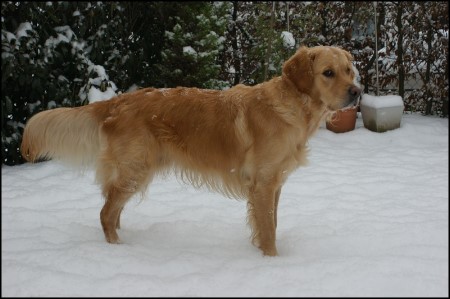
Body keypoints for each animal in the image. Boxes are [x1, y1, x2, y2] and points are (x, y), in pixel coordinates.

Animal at [21, 45, 360, 256]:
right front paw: (272, 260)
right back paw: (119, 249)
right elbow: (267, 229)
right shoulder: (263, 183)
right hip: (136, 169)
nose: (357, 92)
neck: (294, 106)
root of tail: (117, 102)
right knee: (106, 212)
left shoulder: (274, 184)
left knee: (111, 207)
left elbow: (271, 224)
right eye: (328, 73)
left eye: (349, 71)